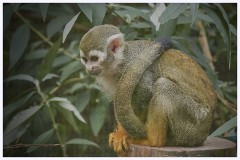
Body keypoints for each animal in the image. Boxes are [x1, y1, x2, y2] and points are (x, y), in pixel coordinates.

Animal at [79, 24, 217, 156]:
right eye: (85, 60)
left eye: (94, 58)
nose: (89, 68)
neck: (119, 61)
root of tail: (203, 135)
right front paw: (120, 131)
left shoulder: (133, 66)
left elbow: (144, 96)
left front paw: (124, 133)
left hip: (193, 124)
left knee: (163, 86)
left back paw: (153, 141)